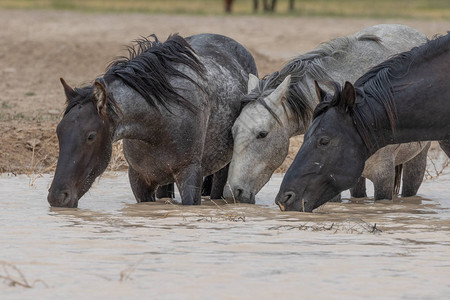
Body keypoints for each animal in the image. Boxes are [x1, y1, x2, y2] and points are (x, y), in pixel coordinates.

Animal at [46, 32, 256, 206]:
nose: (57, 197)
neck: (157, 125)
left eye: (91, 136)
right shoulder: (139, 179)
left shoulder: (190, 176)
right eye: (59, 132)